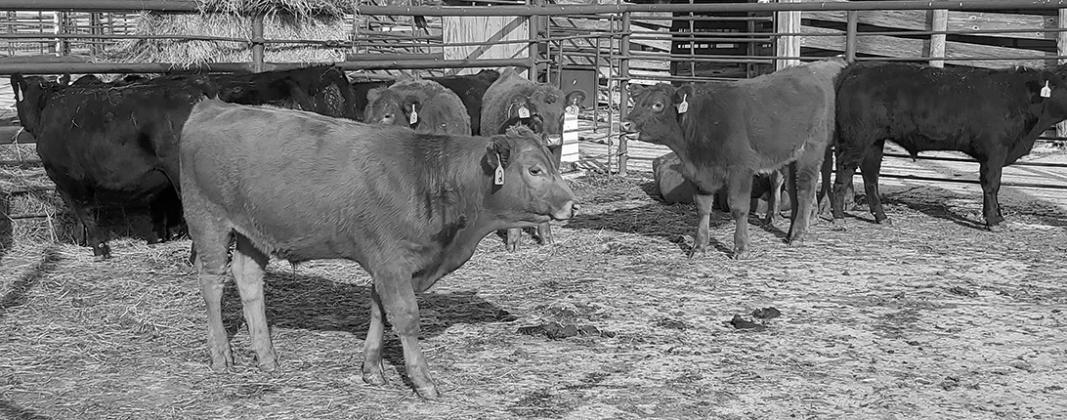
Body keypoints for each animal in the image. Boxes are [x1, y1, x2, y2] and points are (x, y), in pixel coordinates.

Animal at [179, 99, 577, 399]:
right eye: (536, 170)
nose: (572, 205)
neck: (430, 177)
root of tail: (211, 106)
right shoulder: (390, 262)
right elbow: (405, 317)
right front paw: (423, 381)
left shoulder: (393, 266)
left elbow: (378, 310)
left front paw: (372, 367)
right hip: (208, 221)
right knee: (212, 282)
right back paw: (222, 356)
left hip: (253, 232)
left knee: (248, 279)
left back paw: (266, 356)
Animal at [621, 58, 846, 259]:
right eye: (636, 103)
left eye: (657, 105)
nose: (625, 124)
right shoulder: (699, 174)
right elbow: (703, 209)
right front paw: (699, 247)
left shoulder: (741, 169)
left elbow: (738, 207)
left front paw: (741, 248)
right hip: (791, 156)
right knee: (793, 188)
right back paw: (790, 234)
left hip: (813, 148)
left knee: (806, 188)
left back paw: (799, 235)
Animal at [830, 62, 1067, 231]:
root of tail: (859, 69)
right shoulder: (994, 151)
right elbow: (991, 184)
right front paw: (993, 221)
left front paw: (996, 217)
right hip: (857, 139)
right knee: (844, 171)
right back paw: (839, 218)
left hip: (874, 142)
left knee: (870, 177)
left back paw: (882, 217)